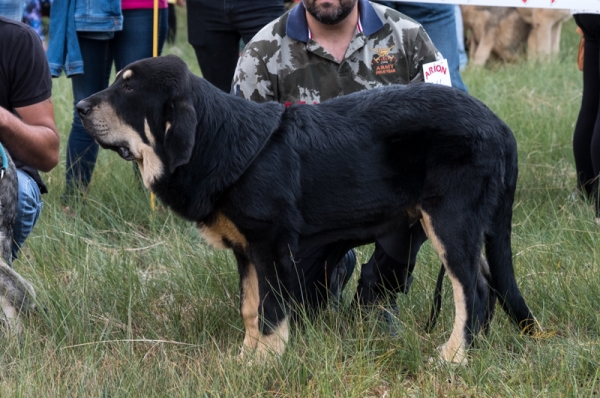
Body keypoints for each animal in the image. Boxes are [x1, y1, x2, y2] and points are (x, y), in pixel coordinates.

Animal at [77, 55, 536, 364]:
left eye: (129, 89)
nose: (80, 107)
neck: (223, 140)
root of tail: (500, 125)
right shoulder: (247, 252)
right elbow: (249, 309)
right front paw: (245, 358)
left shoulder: (271, 245)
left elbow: (269, 311)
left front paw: (265, 361)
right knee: (487, 285)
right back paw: (475, 348)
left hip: (450, 221)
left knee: (471, 291)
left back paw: (453, 356)